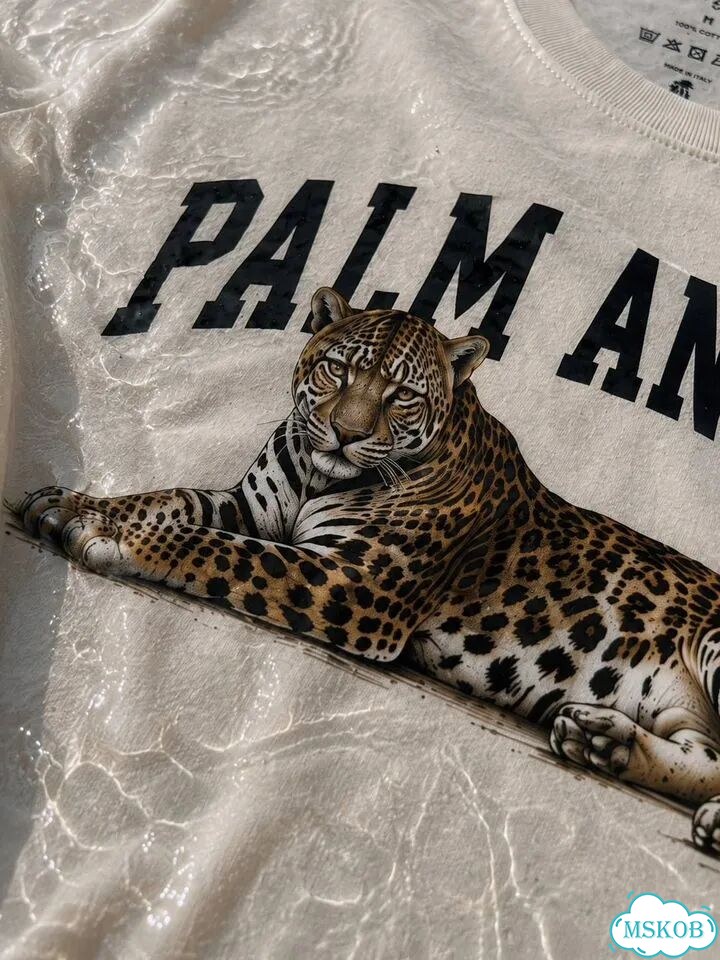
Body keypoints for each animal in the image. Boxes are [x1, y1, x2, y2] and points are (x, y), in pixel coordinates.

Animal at [12, 287, 720, 855]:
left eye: (402, 394)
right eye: (338, 369)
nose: (346, 434)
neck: (318, 475)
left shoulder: (356, 584)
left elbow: (214, 547)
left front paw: (115, 535)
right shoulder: (251, 508)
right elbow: (175, 499)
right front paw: (73, 503)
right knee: (707, 754)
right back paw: (603, 740)